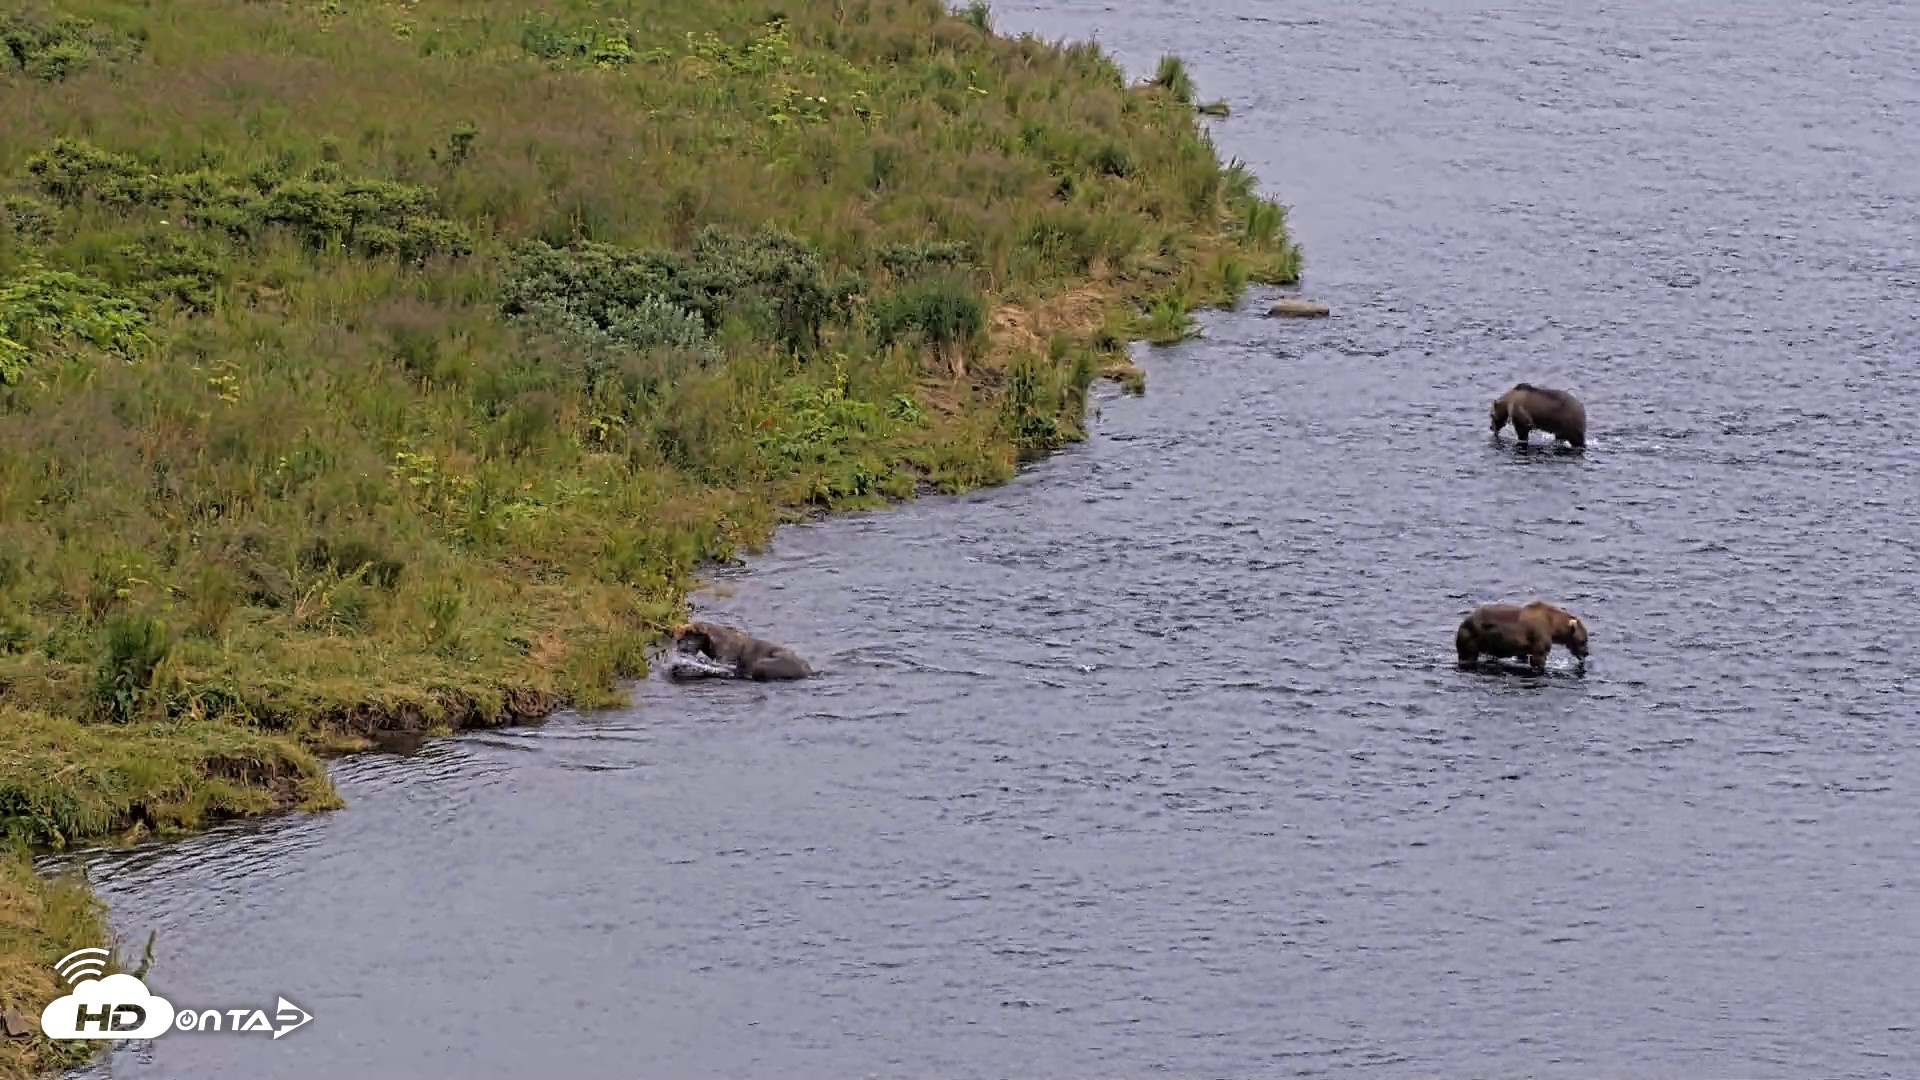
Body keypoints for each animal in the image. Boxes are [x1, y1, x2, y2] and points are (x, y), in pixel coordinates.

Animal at [1454, 600, 1589, 674]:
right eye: (1583, 641)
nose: (1586, 653)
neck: (1553, 626)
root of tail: (1464, 621)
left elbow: (1523, 656)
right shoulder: (1539, 635)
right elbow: (1538, 658)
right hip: (1472, 636)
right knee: (1468, 655)